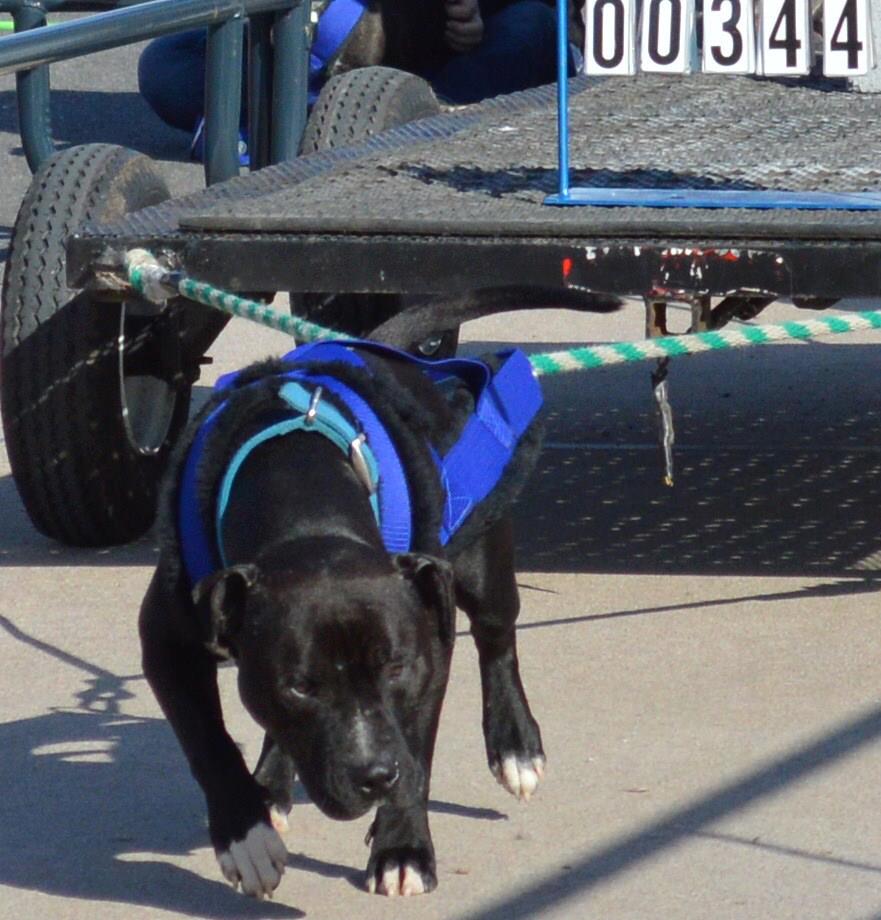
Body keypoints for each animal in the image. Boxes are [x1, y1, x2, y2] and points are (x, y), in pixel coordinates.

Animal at [139, 290, 620, 900]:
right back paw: (270, 788)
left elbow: (416, 749)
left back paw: (515, 745)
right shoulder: (167, 643)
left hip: (478, 557)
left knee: (497, 637)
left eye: (395, 668)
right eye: (299, 686)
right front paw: (245, 835)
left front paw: (402, 848)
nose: (372, 776)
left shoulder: (426, 654)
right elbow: (208, 741)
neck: (306, 508)